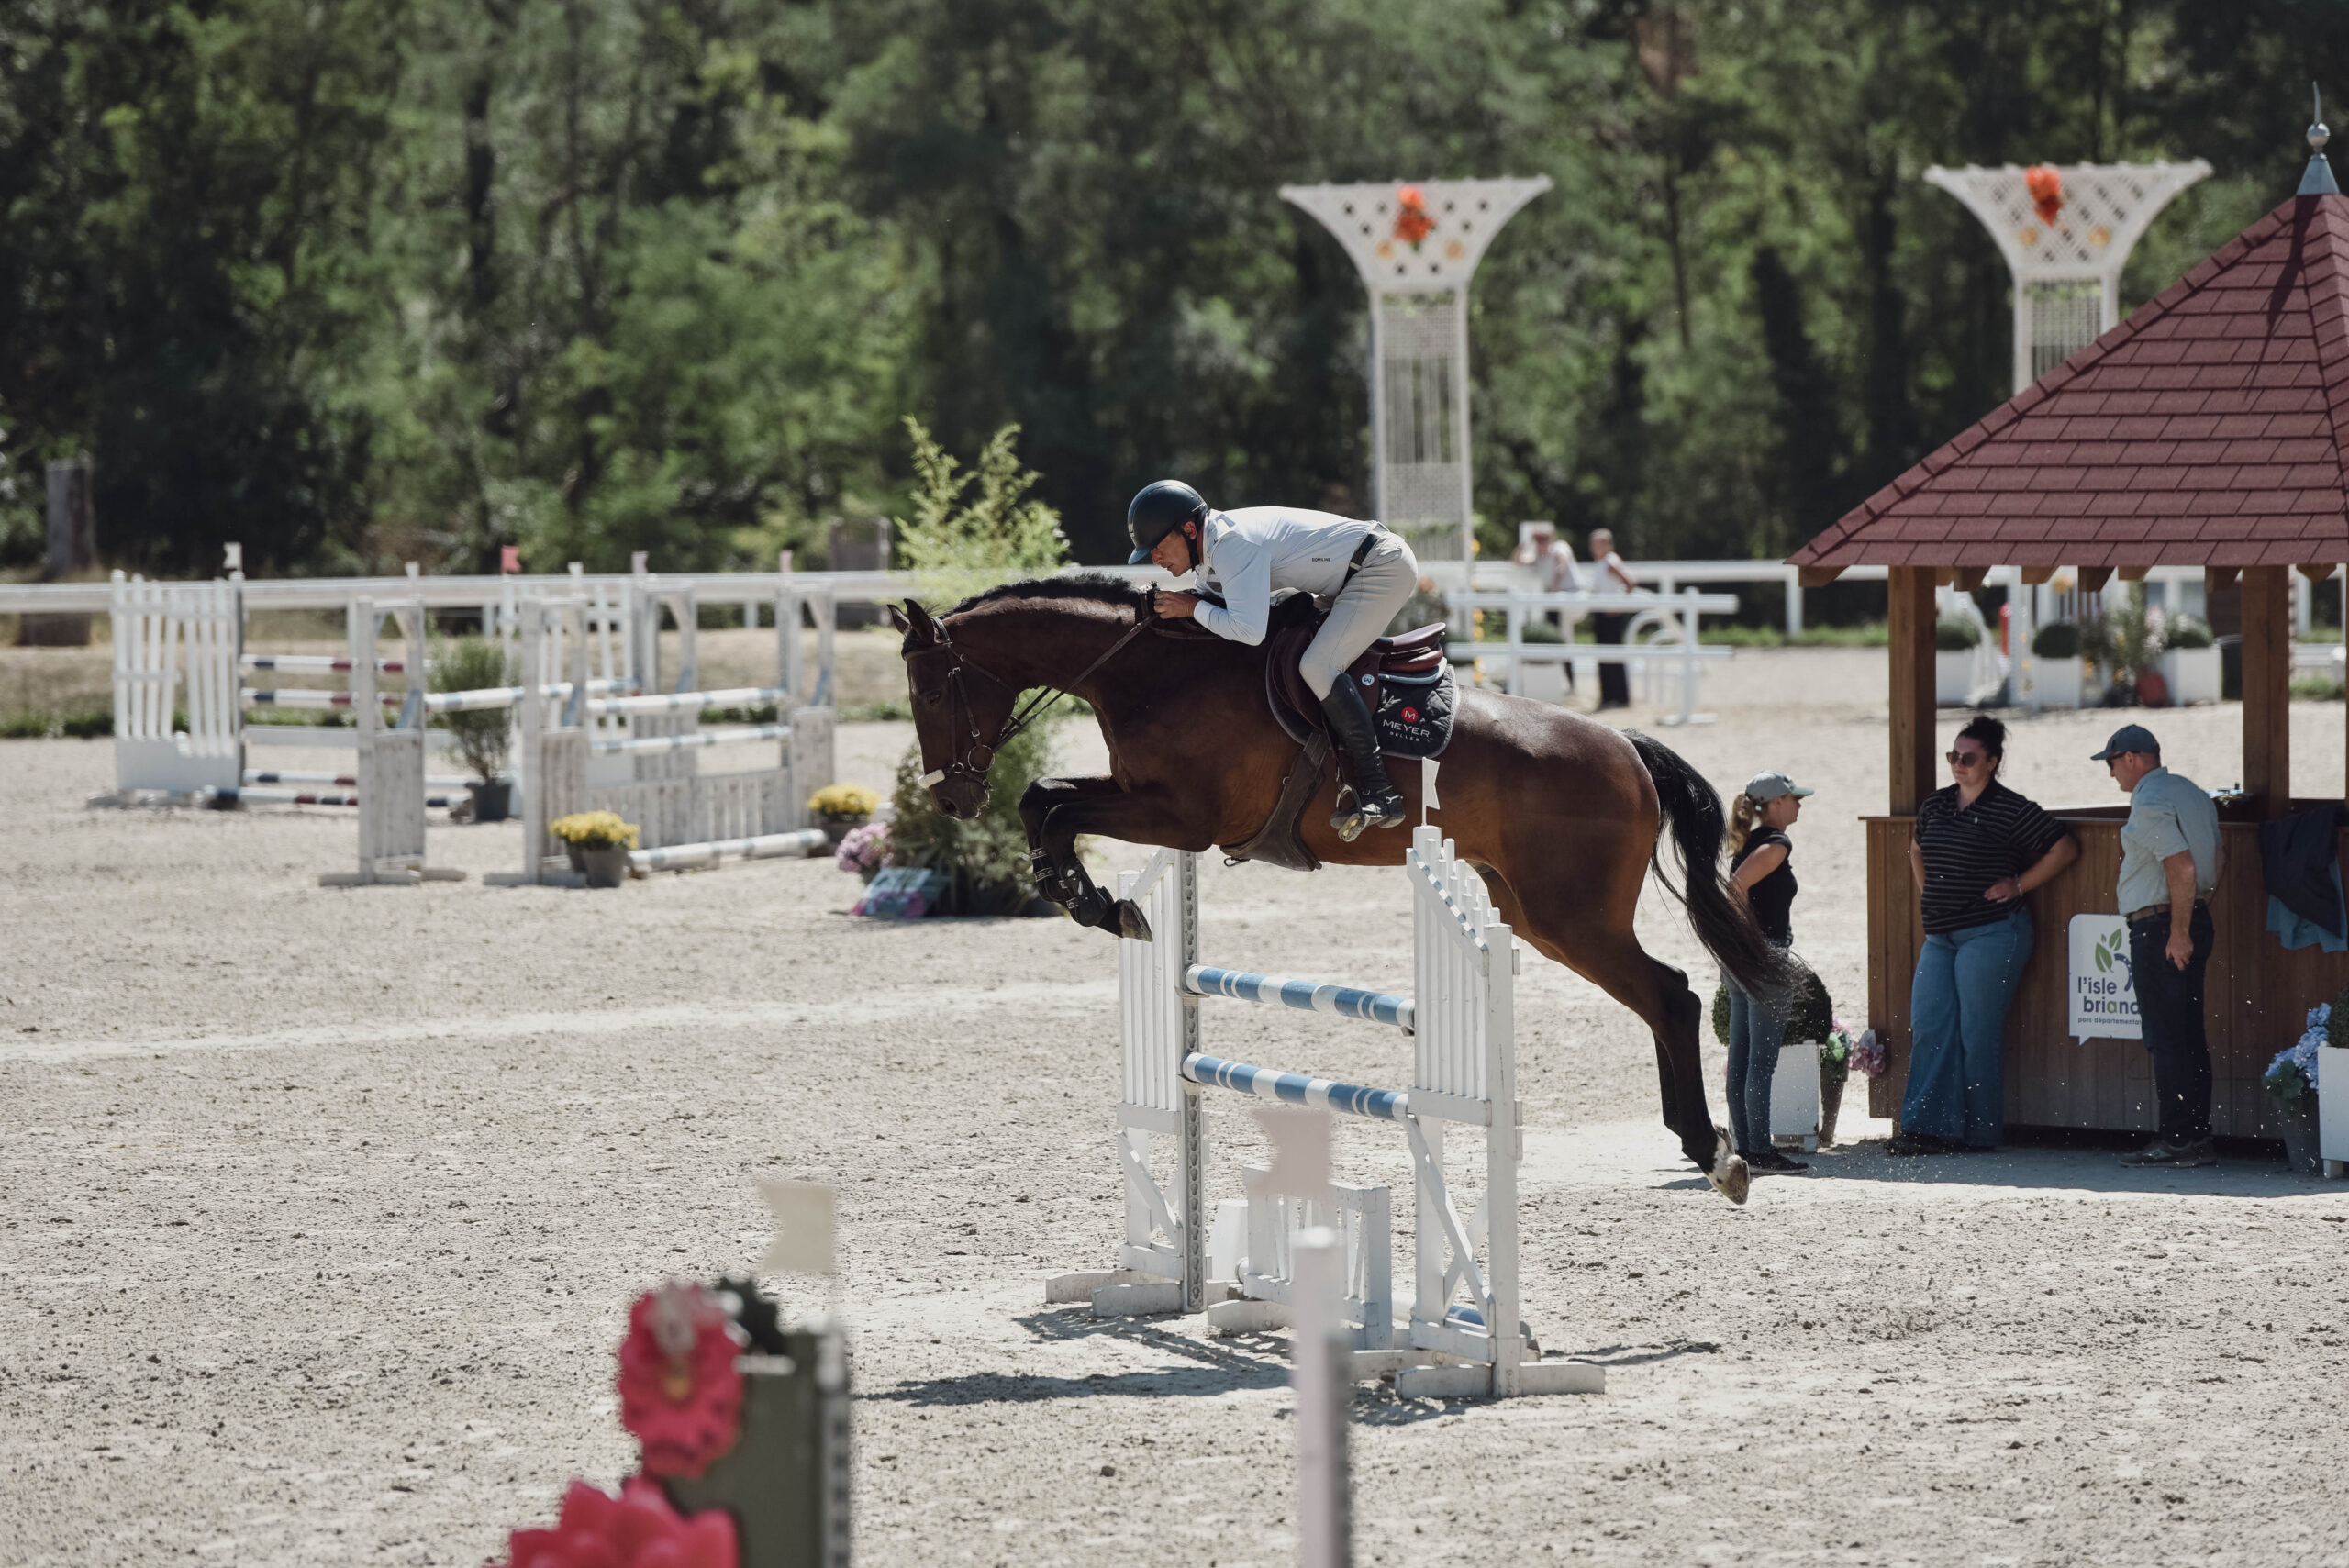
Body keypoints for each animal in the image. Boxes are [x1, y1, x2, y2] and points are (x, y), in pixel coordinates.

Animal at [891, 576, 1790, 1203]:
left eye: (932, 691)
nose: (951, 798)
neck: (1157, 669)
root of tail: (1628, 748)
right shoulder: (1142, 796)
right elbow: (1044, 797)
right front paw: (1082, 893)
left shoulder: (1181, 815)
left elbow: (1049, 796)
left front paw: (1094, 899)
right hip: (1533, 912)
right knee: (1660, 996)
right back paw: (1703, 1146)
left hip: (1573, 916)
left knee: (1670, 993)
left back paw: (1714, 1152)